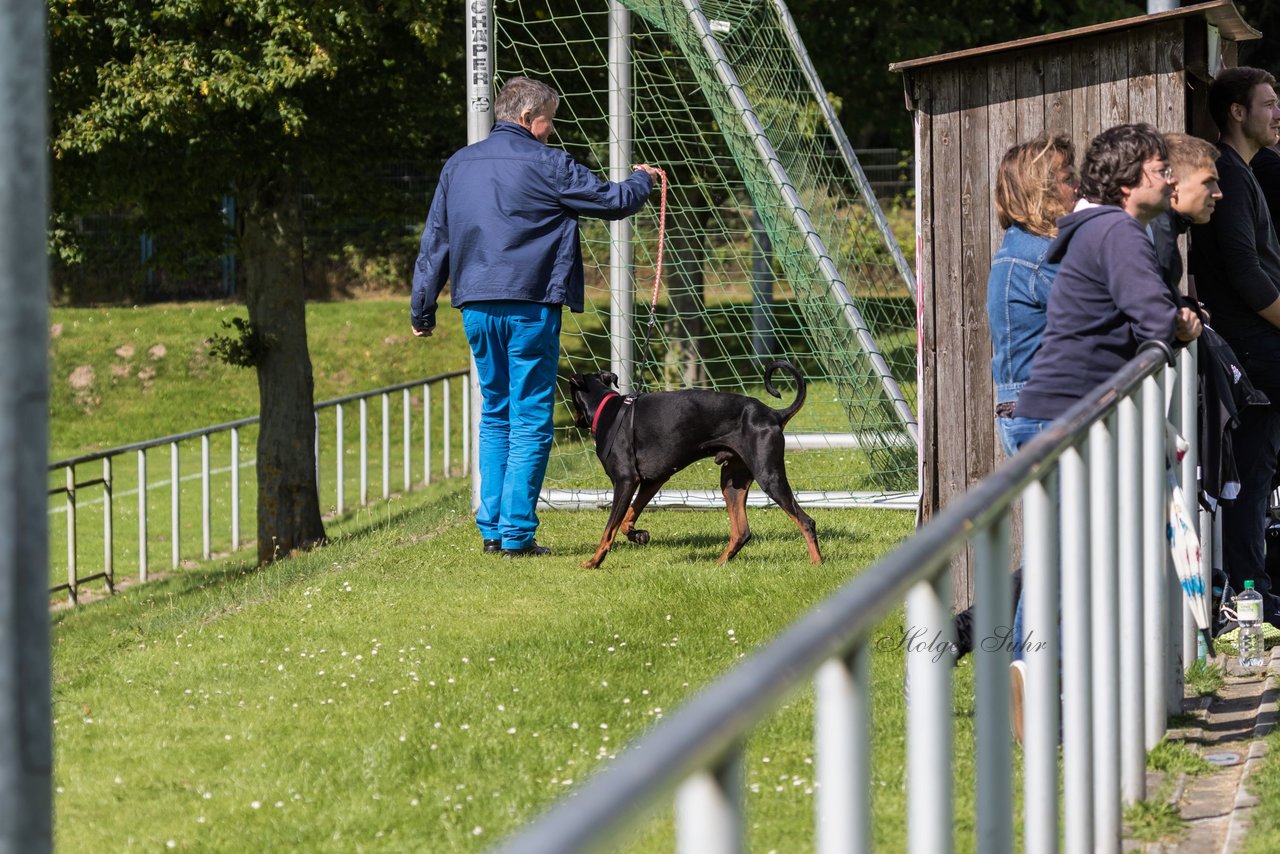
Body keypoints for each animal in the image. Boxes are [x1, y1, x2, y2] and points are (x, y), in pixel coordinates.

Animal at [568, 358, 819, 568]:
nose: (576, 421)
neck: (607, 409)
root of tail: (774, 415)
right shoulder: (653, 480)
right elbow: (628, 517)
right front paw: (638, 534)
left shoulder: (625, 480)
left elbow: (609, 528)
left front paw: (593, 562)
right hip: (732, 482)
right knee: (742, 532)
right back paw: (718, 564)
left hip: (769, 477)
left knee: (806, 521)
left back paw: (817, 563)